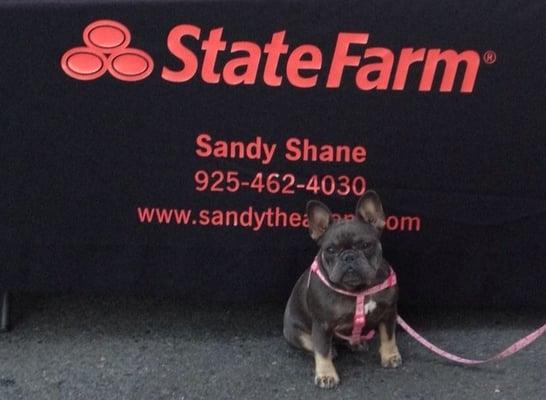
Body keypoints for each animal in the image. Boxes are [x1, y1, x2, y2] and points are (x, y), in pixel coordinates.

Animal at [282, 191, 398, 388]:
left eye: (365, 245)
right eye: (330, 250)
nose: (348, 257)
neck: (358, 289)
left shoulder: (388, 312)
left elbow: (388, 336)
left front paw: (390, 355)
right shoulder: (321, 324)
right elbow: (321, 351)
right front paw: (326, 375)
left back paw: (356, 343)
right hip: (297, 334)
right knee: (314, 346)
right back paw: (332, 350)